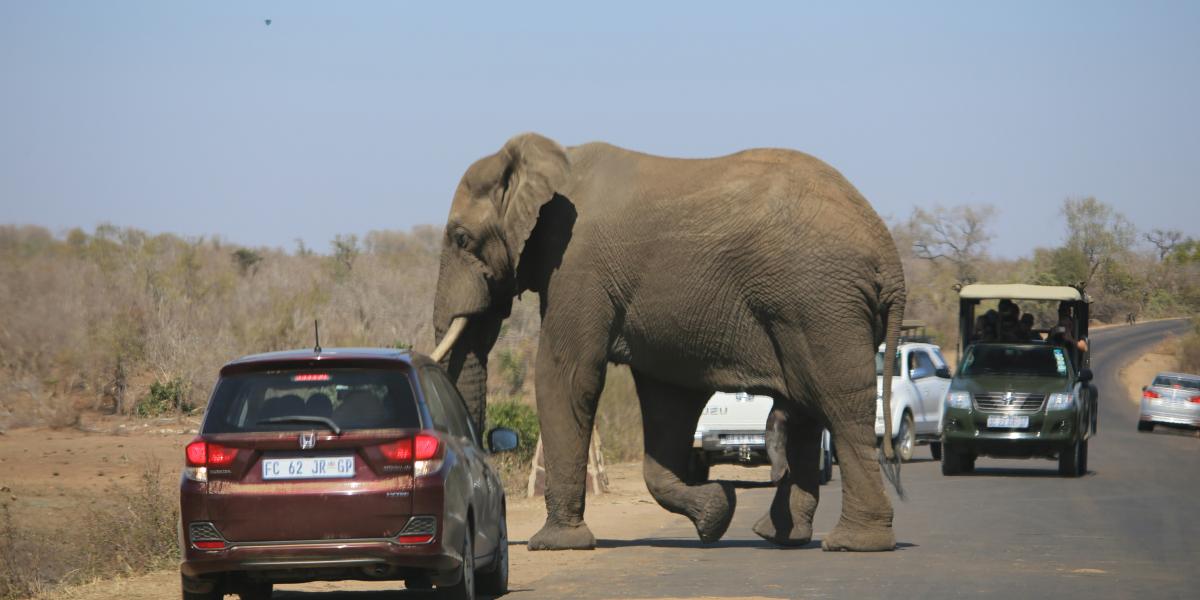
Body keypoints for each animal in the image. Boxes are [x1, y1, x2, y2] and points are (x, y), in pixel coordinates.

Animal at [427, 135, 902, 552]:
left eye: (462, 238)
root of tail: (889, 257)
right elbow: (667, 403)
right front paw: (717, 512)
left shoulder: (578, 264)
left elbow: (565, 376)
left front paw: (554, 544)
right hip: (813, 309)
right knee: (806, 409)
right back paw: (781, 536)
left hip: (822, 304)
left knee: (840, 408)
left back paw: (855, 543)